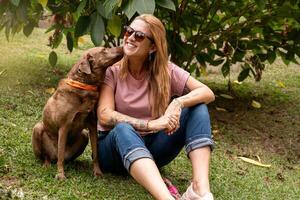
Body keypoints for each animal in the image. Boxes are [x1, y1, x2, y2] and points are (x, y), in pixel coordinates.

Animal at [31, 46, 123, 180]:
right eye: (104, 49)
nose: (122, 47)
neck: (84, 85)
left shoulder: (92, 126)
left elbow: (96, 154)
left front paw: (97, 172)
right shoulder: (64, 126)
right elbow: (60, 156)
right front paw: (60, 175)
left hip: (84, 135)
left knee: (66, 158)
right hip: (37, 128)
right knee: (50, 156)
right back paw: (47, 164)